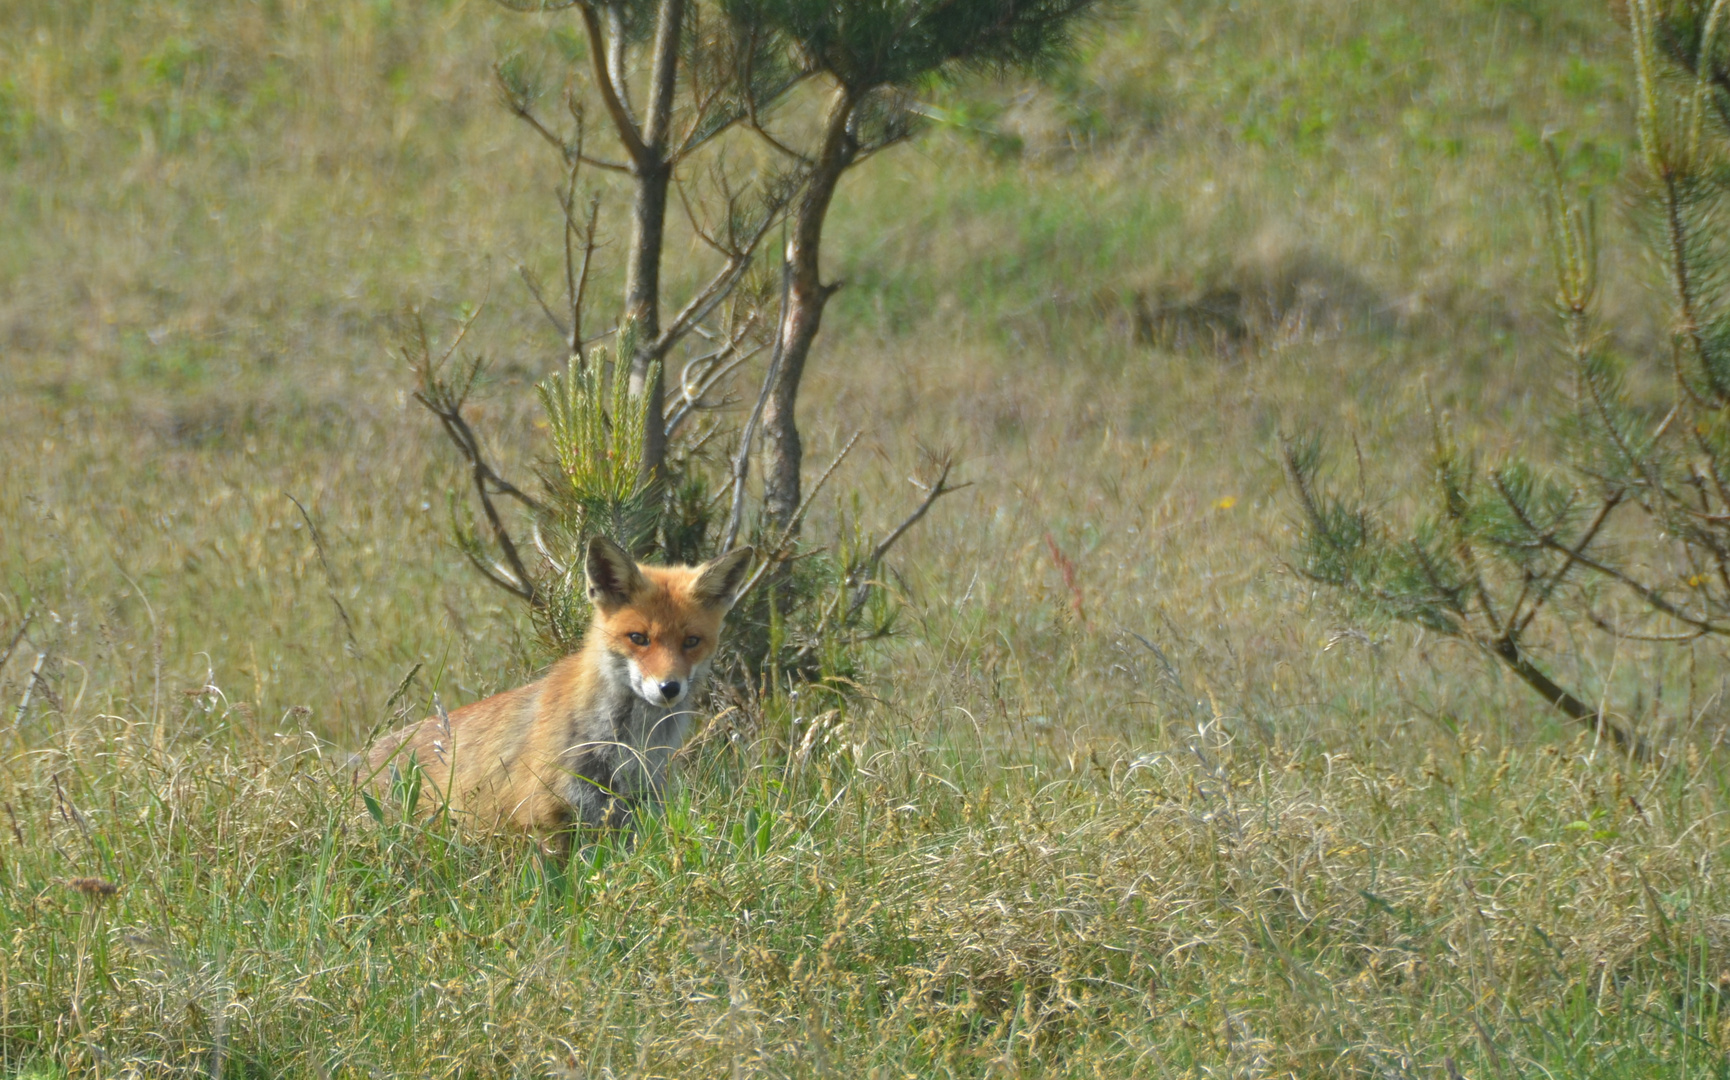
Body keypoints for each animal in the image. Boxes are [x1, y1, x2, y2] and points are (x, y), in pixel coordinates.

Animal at [368, 536, 754, 848]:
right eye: (639, 638)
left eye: (691, 641)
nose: (669, 688)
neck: (628, 744)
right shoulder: (543, 820)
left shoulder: (632, 818)